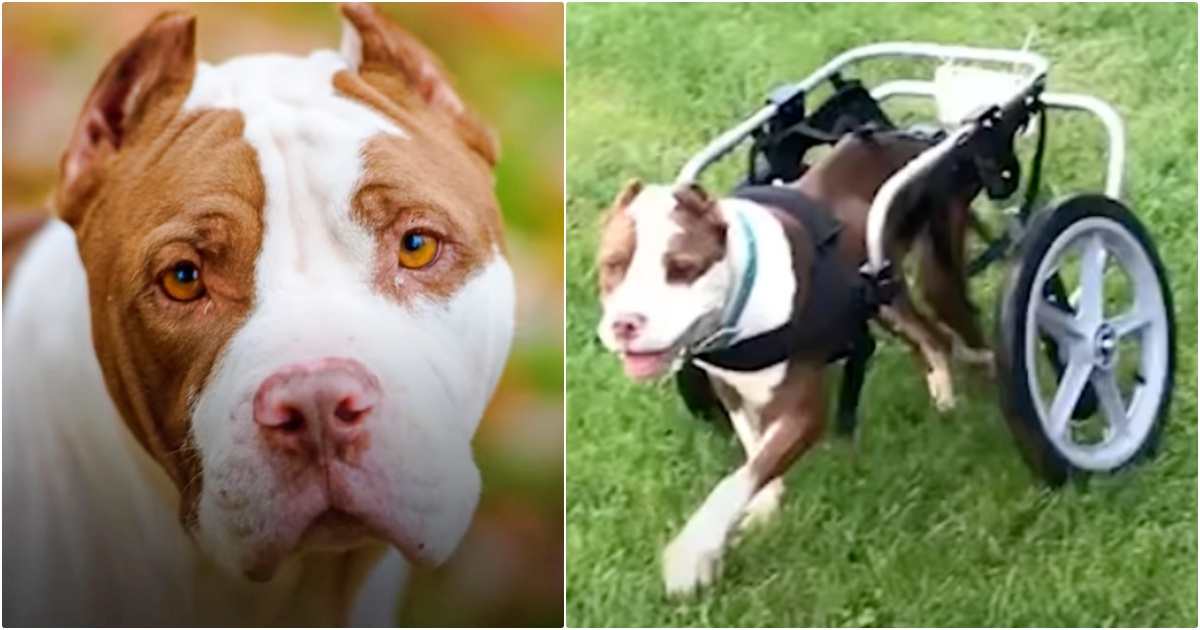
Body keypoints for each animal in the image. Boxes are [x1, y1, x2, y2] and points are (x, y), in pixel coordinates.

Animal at [595, 131, 988, 595]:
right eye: (612, 265)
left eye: (681, 267)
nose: (625, 323)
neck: (742, 294)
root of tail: (916, 139)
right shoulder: (730, 388)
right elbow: (754, 450)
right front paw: (766, 505)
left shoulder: (803, 410)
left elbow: (740, 476)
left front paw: (695, 552)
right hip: (883, 297)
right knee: (930, 337)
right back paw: (943, 397)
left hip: (928, 273)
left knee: (955, 333)